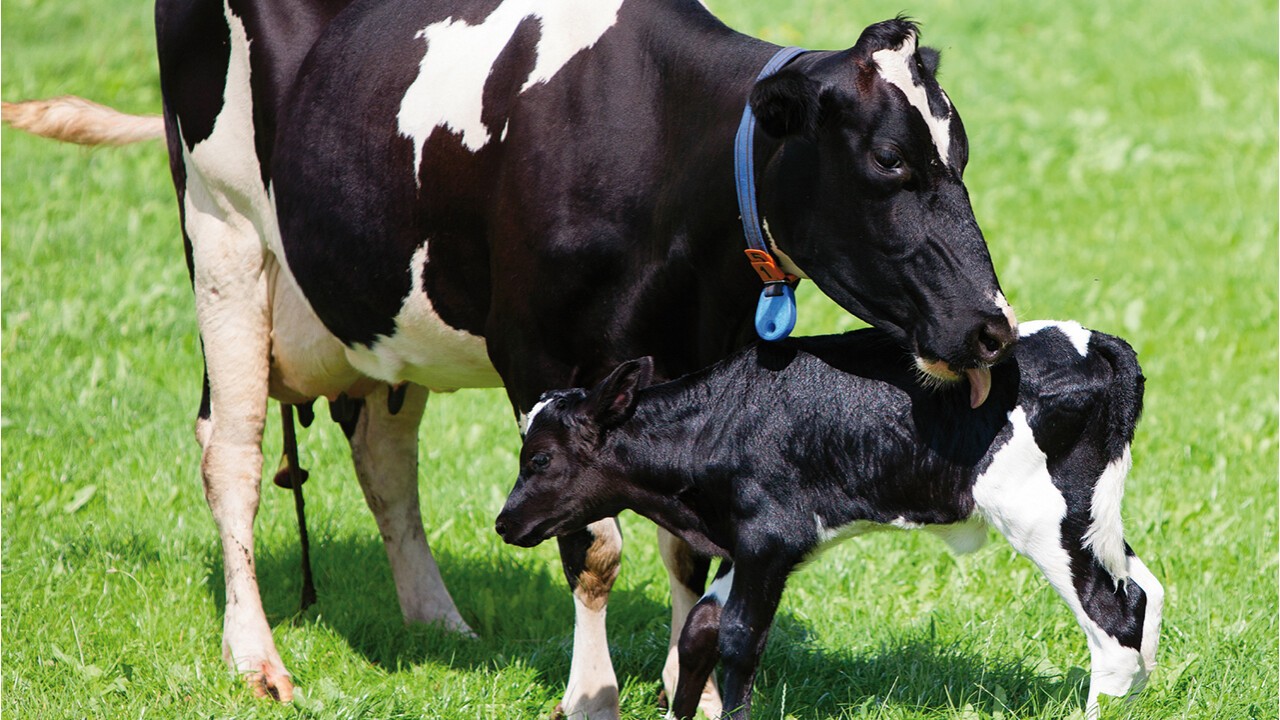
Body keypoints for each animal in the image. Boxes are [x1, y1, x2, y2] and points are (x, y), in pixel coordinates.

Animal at [0, 1, 1018, 712]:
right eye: (889, 161)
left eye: (964, 154)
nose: (991, 328)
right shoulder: (539, 354)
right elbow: (596, 546)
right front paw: (592, 696)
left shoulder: (702, 354)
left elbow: (690, 543)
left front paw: (687, 691)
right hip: (221, 231)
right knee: (233, 452)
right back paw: (258, 661)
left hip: (379, 299)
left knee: (384, 454)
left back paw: (440, 621)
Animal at [494, 319, 1167, 717]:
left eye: (540, 458)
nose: (503, 523)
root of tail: (1095, 342)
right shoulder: (753, 546)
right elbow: (700, 630)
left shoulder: (768, 538)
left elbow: (738, 638)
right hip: (1089, 514)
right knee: (1144, 590)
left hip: (1042, 517)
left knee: (1112, 620)